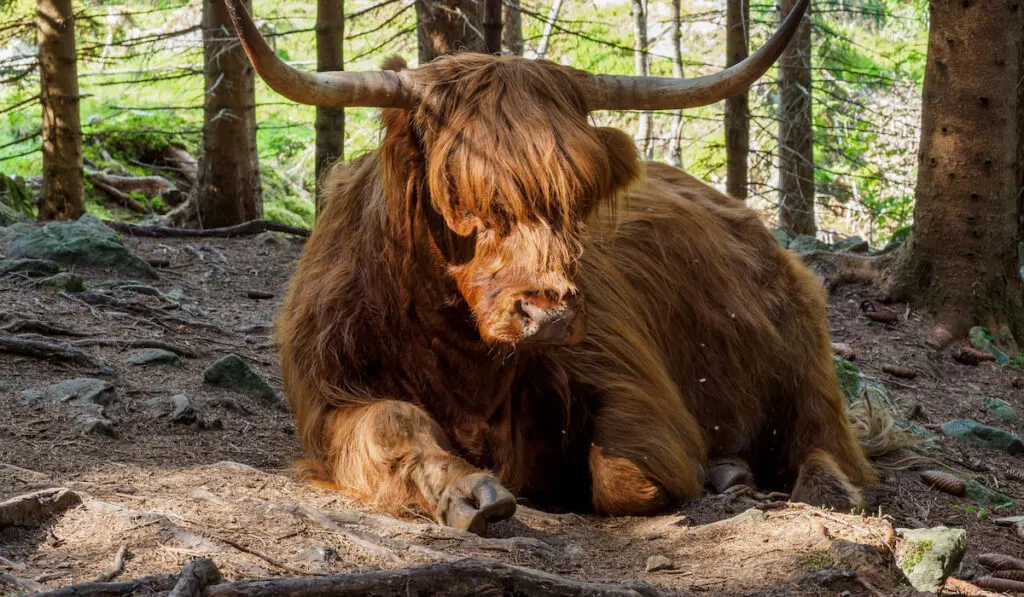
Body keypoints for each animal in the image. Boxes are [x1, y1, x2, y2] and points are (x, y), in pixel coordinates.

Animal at [220, 0, 892, 536]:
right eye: (459, 196)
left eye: (579, 196)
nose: (549, 315)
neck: (465, 365)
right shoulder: (326, 393)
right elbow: (393, 421)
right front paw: (469, 492)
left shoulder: (624, 373)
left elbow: (624, 474)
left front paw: (698, 471)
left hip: (803, 350)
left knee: (823, 435)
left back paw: (812, 485)